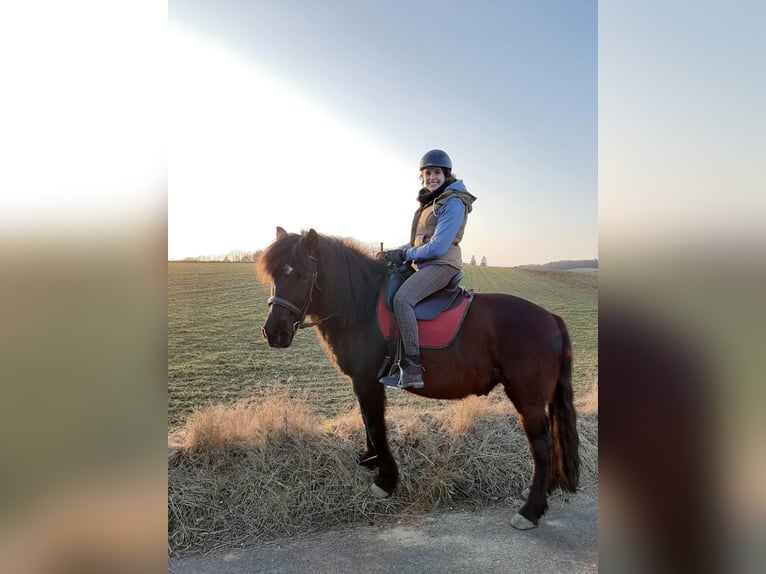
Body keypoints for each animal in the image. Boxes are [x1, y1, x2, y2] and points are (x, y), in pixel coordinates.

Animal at [258, 227, 580, 529]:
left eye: (302, 275)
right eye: (273, 275)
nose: (273, 333)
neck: (361, 307)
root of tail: (552, 319)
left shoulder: (368, 381)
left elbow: (376, 425)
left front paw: (385, 480)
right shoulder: (361, 382)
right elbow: (365, 419)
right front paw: (370, 459)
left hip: (528, 400)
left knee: (541, 446)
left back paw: (530, 510)